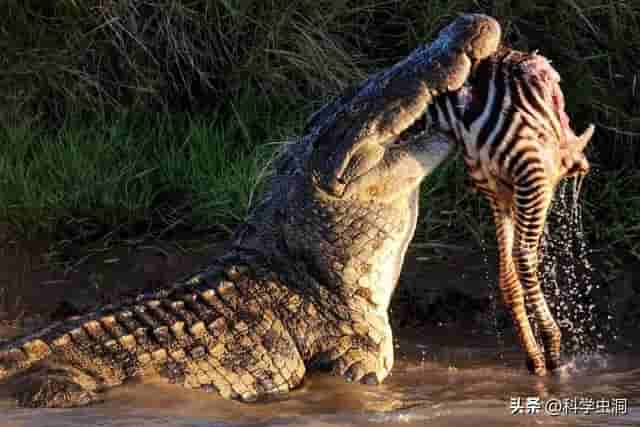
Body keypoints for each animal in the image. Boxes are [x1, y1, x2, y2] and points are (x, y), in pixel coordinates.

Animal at [420, 46, 596, 374]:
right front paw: (552, 347)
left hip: (494, 183)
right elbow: (523, 258)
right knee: (524, 257)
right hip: (531, 176)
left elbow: (506, 271)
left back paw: (535, 358)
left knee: (507, 271)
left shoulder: (500, 191)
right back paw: (551, 348)